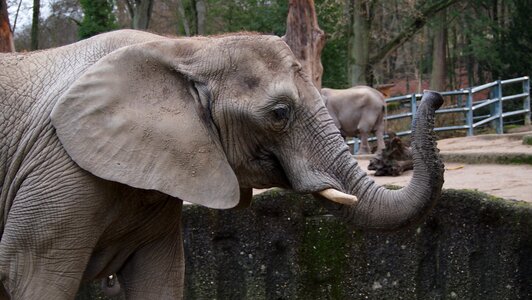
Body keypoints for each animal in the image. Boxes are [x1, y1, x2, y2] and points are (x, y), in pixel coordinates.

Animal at [0, 28, 444, 300]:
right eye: (279, 113)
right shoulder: (58, 169)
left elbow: (161, 277)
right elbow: (32, 277)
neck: (186, 48)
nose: (435, 96)